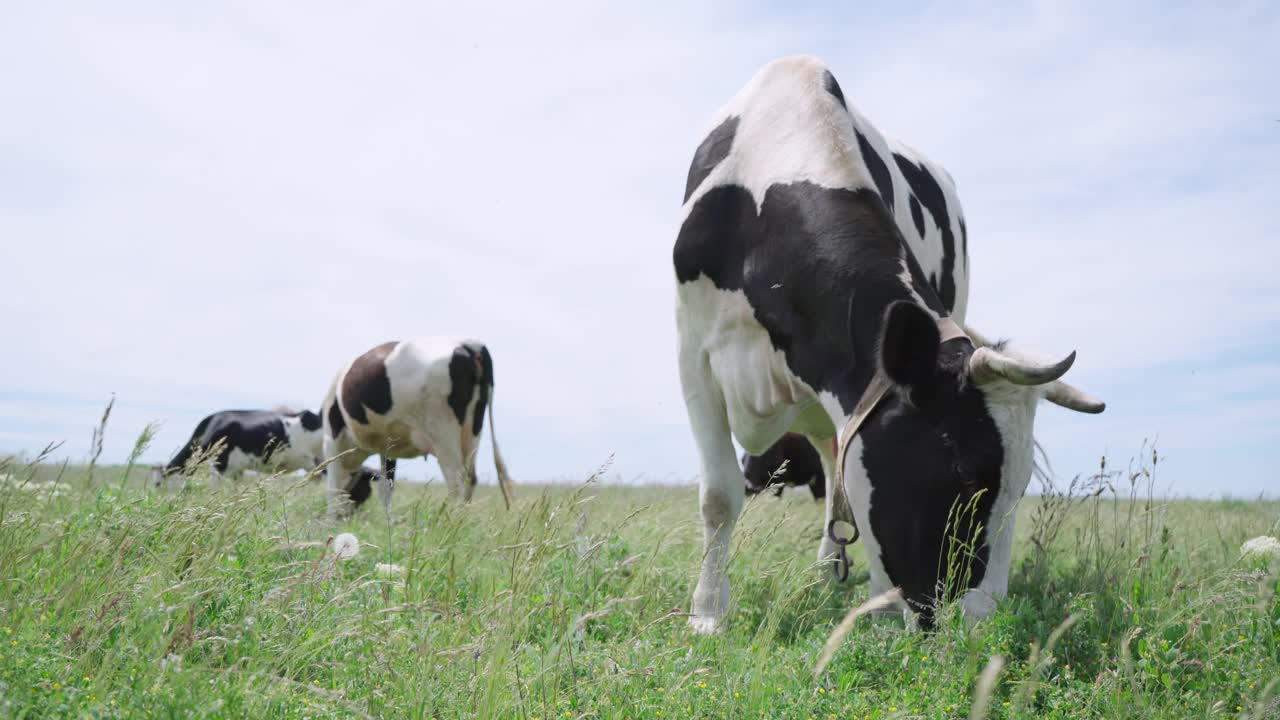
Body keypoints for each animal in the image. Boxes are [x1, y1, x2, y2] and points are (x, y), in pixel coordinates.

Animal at [320, 335, 514, 515]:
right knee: (470, 479)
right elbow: (386, 488)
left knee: (456, 481)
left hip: (443, 432)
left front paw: (330, 522)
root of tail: (469, 344)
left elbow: (332, 487)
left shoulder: (332, 437)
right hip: (472, 431)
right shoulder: (387, 447)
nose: (349, 515)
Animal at [675, 53, 1105, 630]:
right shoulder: (693, 353)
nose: (979, 625)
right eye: (965, 473)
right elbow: (719, 496)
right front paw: (708, 615)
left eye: (1021, 486)